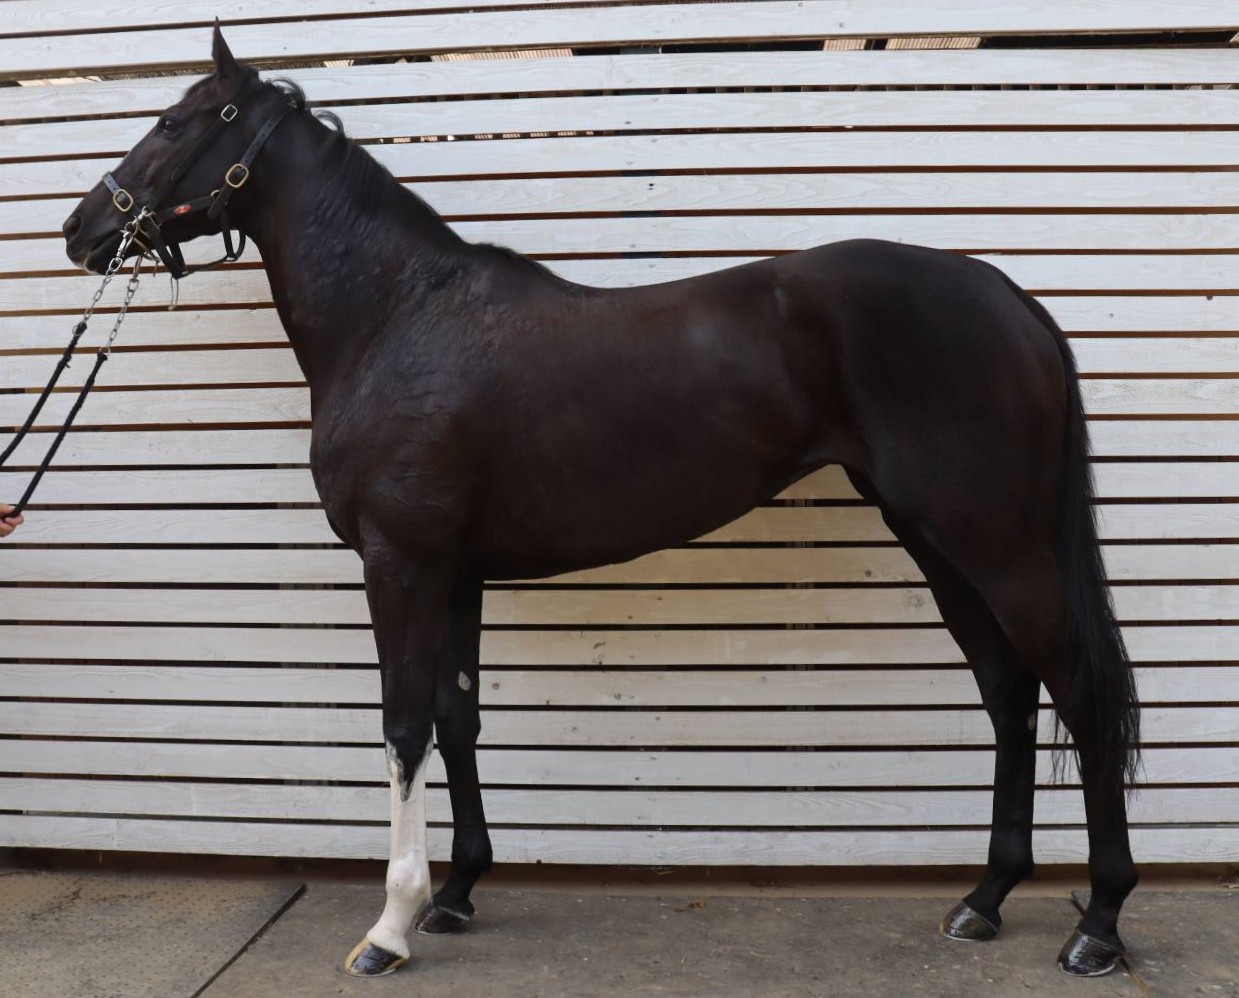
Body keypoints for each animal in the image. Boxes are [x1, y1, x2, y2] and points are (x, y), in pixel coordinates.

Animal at [62, 27, 1141, 980]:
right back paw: (984, 899)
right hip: (936, 539)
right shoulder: (454, 570)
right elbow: (458, 717)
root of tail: (1007, 297)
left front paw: (391, 924)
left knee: (1077, 694)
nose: (82, 230)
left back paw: (1097, 924)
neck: (397, 317)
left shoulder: (398, 561)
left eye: (171, 121)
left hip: (995, 544)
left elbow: (404, 726)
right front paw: (458, 893)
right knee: (1008, 692)